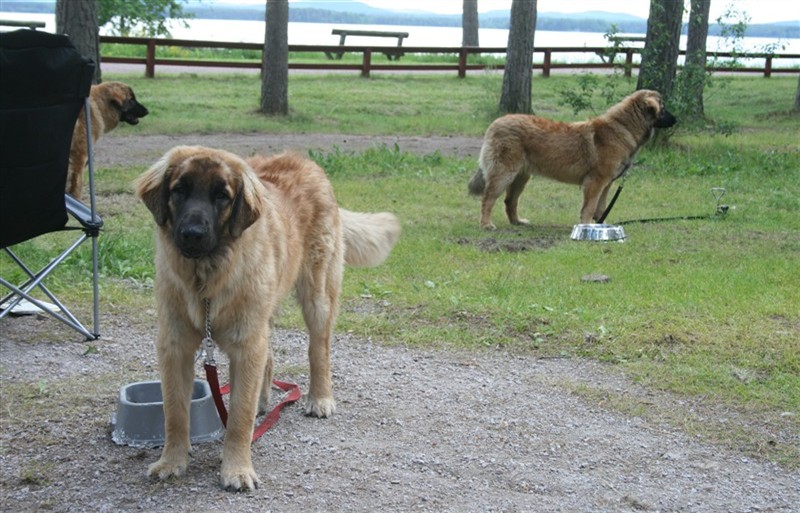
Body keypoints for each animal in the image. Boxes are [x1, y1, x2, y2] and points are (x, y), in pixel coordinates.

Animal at [468, 89, 676, 229]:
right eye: (664, 108)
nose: (676, 119)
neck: (624, 127)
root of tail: (495, 123)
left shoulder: (606, 184)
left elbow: (601, 208)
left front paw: (601, 226)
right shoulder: (595, 182)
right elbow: (589, 208)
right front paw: (586, 227)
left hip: (521, 177)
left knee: (510, 201)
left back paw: (517, 222)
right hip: (504, 174)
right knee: (488, 199)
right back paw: (486, 224)